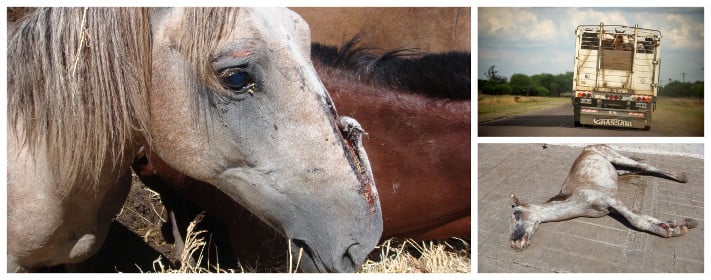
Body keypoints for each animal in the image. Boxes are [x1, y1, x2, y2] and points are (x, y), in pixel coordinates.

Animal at [508, 145, 700, 250]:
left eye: (516, 214)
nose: (514, 242)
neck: (580, 203)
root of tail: (589, 146)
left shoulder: (610, 199)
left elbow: (636, 220)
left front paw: (674, 229)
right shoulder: (612, 208)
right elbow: (641, 216)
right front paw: (676, 225)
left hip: (615, 156)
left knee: (644, 166)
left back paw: (682, 176)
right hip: (618, 168)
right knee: (638, 169)